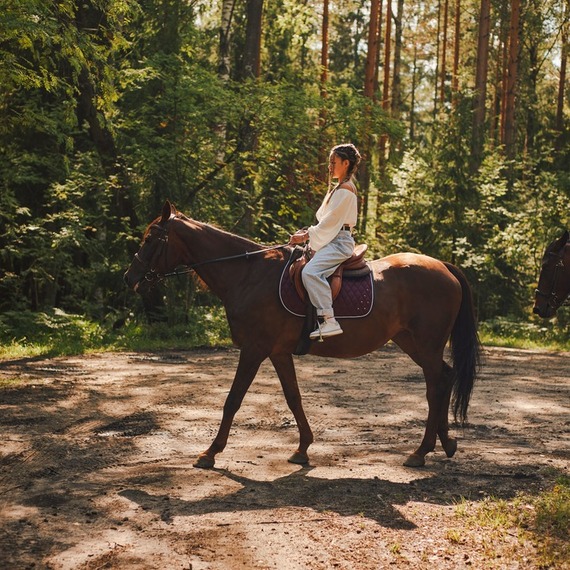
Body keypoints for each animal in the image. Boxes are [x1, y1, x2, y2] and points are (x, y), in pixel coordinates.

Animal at [123, 200, 480, 466]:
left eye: (150, 239)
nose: (130, 277)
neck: (249, 274)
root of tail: (443, 266)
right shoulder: (278, 352)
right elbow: (293, 397)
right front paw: (303, 447)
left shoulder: (253, 350)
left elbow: (233, 400)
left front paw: (210, 453)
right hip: (412, 343)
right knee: (443, 379)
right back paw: (444, 443)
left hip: (426, 345)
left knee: (436, 385)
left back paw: (422, 451)